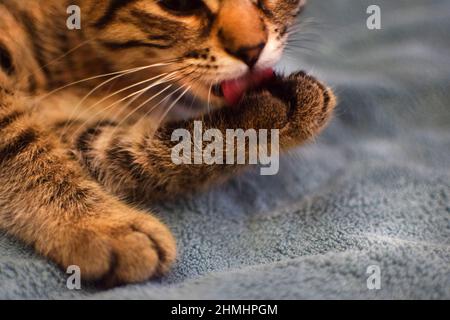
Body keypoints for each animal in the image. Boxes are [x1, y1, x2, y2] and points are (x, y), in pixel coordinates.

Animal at [0, 0, 336, 284]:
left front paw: (270, 114)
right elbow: (21, 148)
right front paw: (101, 226)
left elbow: (128, 152)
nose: (251, 50)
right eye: (179, 3)